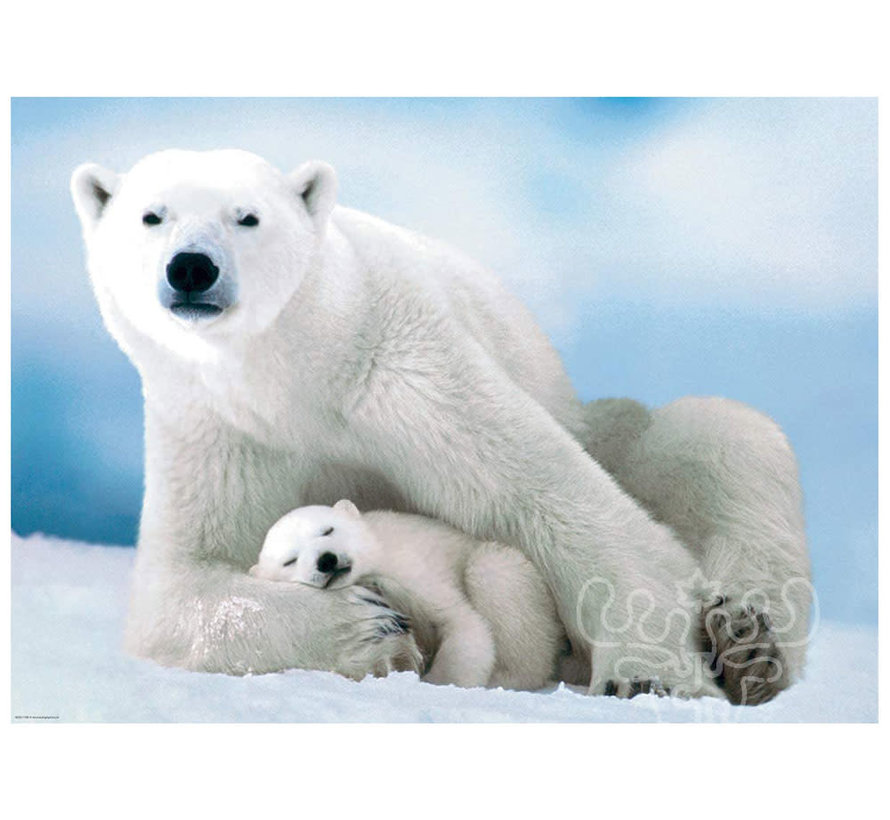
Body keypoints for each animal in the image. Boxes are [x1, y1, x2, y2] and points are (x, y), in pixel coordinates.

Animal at [249, 500, 567, 691]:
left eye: (327, 529)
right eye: (290, 560)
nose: (326, 560)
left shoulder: (411, 567)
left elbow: (462, 622)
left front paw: (440, 682)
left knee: (493, 569)